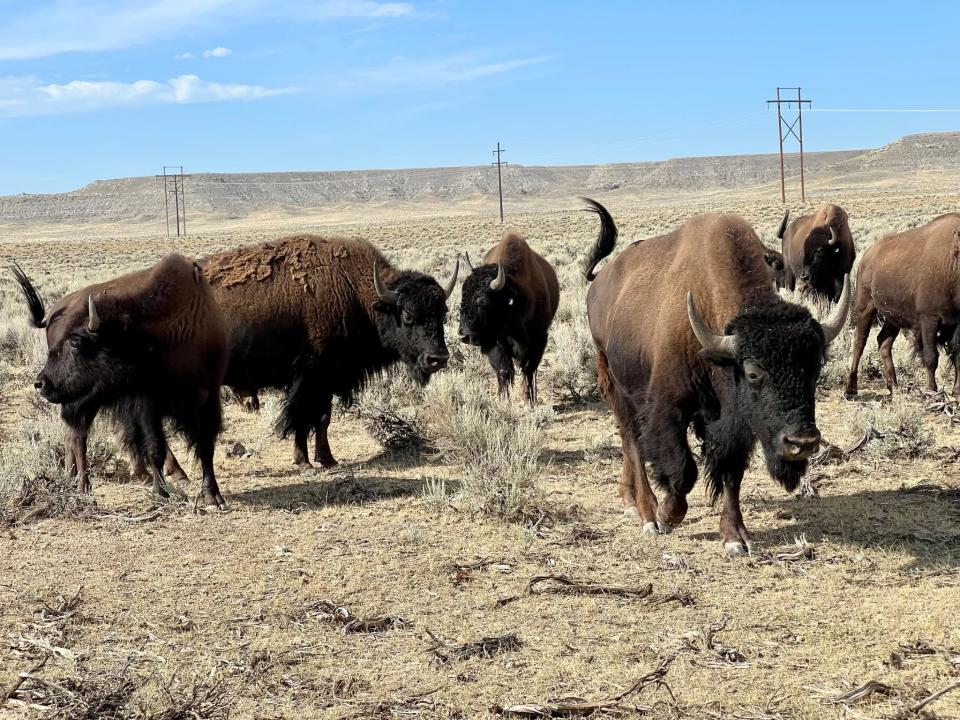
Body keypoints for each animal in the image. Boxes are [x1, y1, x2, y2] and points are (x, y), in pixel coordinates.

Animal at [11, 256, 229, 510]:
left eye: (76, 342)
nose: (41, 383)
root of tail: (54, 311)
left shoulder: (208, 396)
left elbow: (206, 446)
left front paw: (213, 496)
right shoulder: (148, 404)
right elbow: (155, 447)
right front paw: (161, 492)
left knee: (71, 434)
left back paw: (71, 476)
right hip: (82, 399)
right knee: (78, 435)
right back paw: (83, 487)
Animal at [202, 232, 458, 466]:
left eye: (443, 313)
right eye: (407, 315)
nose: (438, 358)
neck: (353, 291)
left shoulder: (328, 379)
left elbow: (322, 418)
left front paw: (327, 460)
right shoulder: (311, 376)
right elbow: (303, 417)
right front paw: (305, 461)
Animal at [460, 233, 560, 402]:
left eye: (483, 301)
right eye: (462, 296)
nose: (465, 335)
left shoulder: (539, 338)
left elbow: (528, 369)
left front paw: (528, 400)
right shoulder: (495, 343)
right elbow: (503, 370)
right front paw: (503, 400)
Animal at [580, 200, 852, 556]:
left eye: (816, 367)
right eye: (752, 373)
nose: (802, 443)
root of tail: (599, 282)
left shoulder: (735, 424)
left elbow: (730, 475)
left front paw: (735, 537)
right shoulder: (668, 408)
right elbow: (684, 471)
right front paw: (667, 515)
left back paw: (630, 501)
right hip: (615, 383)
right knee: (633, 442)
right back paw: (648, 514)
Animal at [844, 212, 960, 400]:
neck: (953, 262)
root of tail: (867, 256)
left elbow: (957, 357)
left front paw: (956, 392)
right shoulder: (929, 319)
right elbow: (931, 357)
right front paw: (932, 391)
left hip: (893, 318)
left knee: (883, 341)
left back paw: (894, 386)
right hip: (865, 307)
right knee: (859, 343)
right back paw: (851, 389)